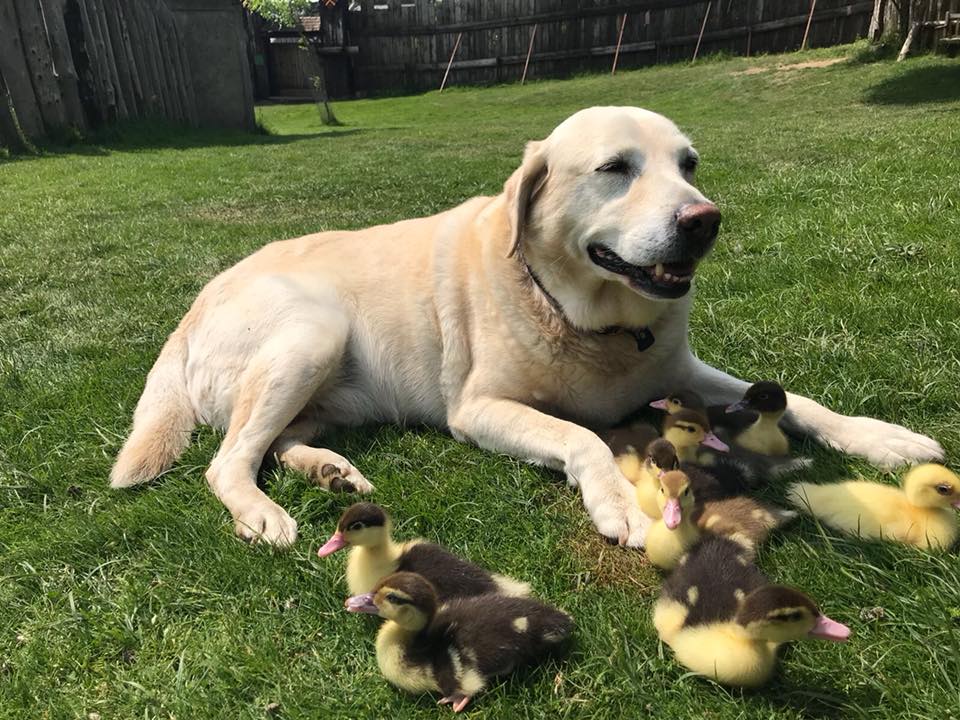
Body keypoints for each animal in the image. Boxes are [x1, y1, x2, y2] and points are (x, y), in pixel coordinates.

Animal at [110, 107, 936, 544]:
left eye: (689, 164)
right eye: (615, 168)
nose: (705, 221)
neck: (590, 320)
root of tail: (191, 307)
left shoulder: (682, 371)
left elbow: (800, 400)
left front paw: (885, 439)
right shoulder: (480, 410)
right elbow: (582, 436)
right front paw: (618, 502)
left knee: (274, 442)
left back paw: (327, 469)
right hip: (312, 333)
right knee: (228, 460)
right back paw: (265, 514)